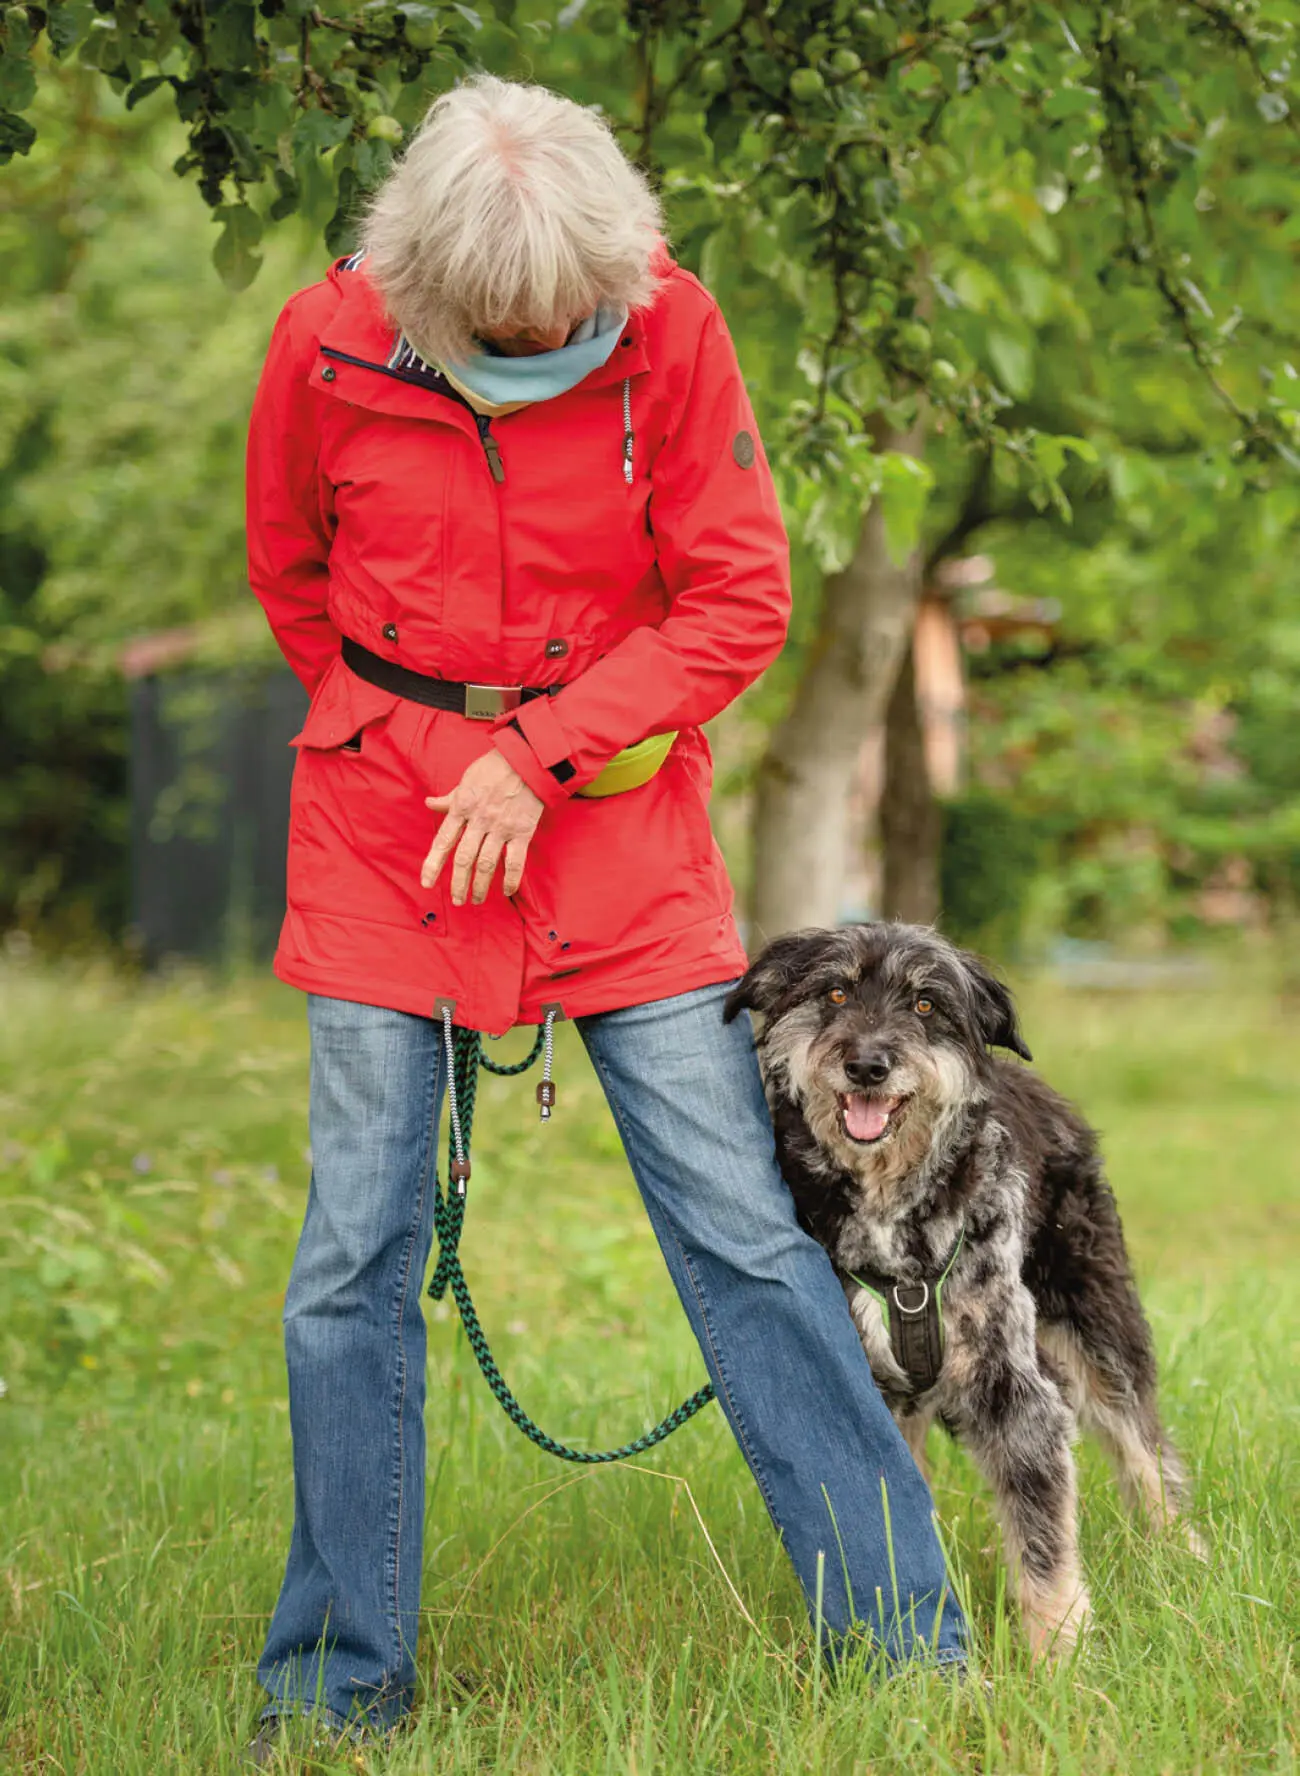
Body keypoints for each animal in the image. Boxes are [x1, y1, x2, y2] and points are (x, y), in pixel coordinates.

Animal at [724, 923, 1200, 1655]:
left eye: (925, 1005)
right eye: (835, 992)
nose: (868, 1064)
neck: (891, 1207)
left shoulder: (1017, 1391)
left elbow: (1044, 1544)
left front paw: (1059, 1654)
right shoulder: (858, 1384)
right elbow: (885, 1505)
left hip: (1096, 1326)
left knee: (1144, 1446)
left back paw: (1179, 1552)